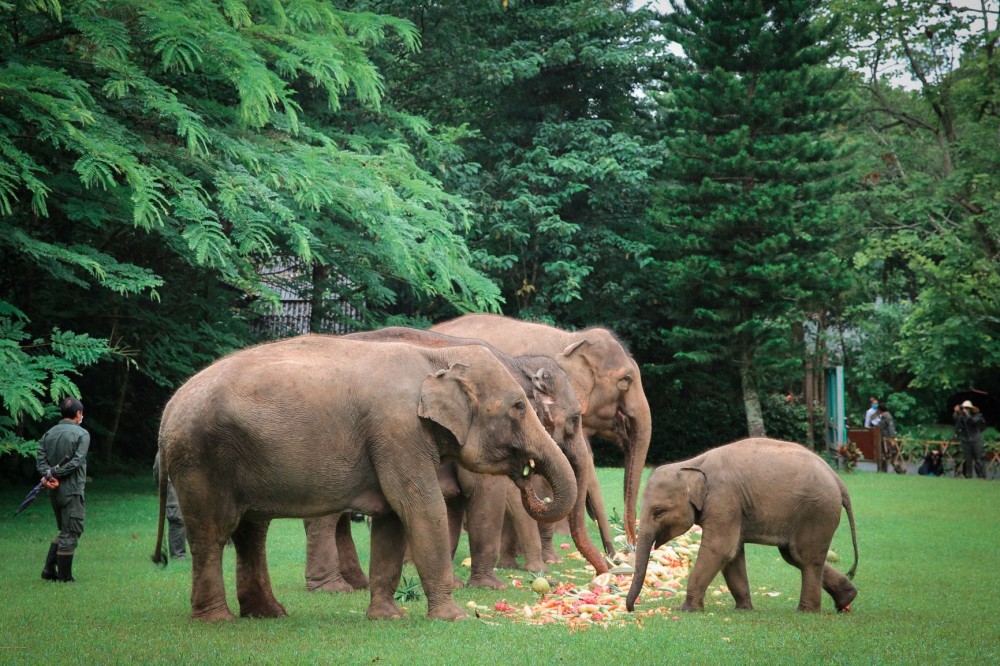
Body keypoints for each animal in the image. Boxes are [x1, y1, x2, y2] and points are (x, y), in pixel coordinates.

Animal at [152, 334, 576, 620]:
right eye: (519, 406)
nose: (527, 474)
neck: (435, 357)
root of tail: (169, 408)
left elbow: (391, 517)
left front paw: (388, 618)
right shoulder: (397, 431)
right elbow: (421, 507)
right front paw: (453, 618)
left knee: (251, 533)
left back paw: (270, 613)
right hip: (201, 461)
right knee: (213, 533)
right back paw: (217, 619)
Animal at [628, 436, 856, 612]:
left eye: (659, 512)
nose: (631, 609)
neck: (693, 464)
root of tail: (838, 480)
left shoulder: (724, 499)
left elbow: (720, 549)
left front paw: (686, 610)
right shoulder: (732, 508)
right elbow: (733, 554)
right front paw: (743, 609)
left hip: (817, 512)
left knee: (805, 558)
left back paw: (806, 611)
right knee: (794, 556)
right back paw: (847, 599)